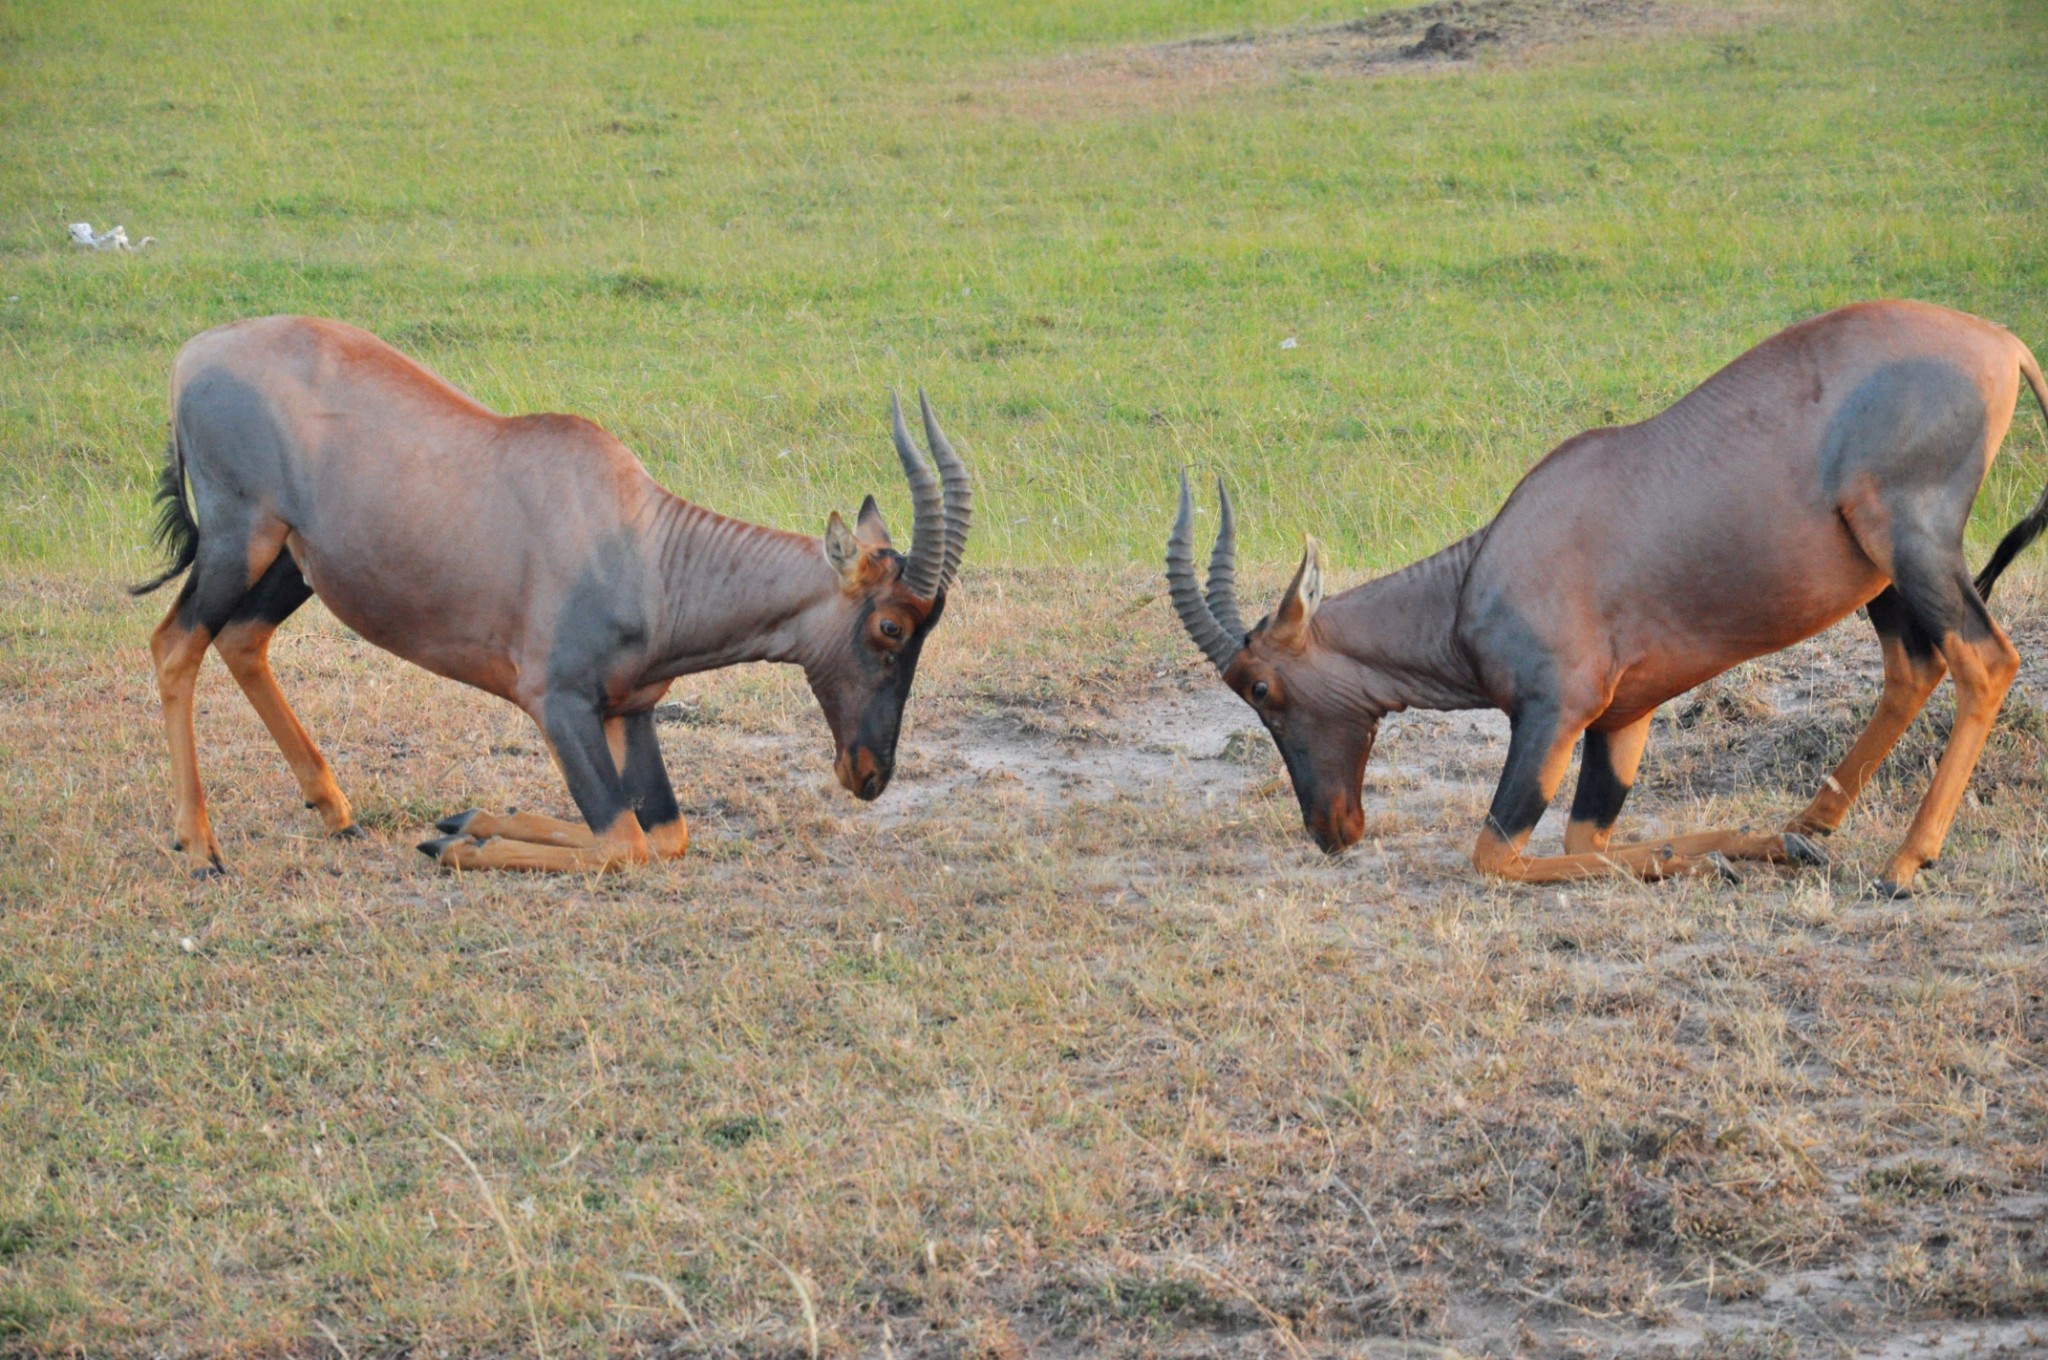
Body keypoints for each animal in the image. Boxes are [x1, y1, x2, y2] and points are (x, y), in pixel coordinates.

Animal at [132, 315, 970, 876]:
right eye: (891, 628)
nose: (870, 775)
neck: (641, 545)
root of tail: (193, 354)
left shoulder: (631, 711)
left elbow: (664, 834)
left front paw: (462, 822)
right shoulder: (556, 704)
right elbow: (621, 840)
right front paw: (456, 841)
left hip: (291, 561)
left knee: (242, 639)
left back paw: (334, 811)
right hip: (239, 535)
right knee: (176, 642)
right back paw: (201, 846)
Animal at [1171, 296, 2048, 893]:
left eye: (1261, 687)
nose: (1331, 829)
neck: (1486, 567)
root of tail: (2002, 342)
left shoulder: (1554, 714)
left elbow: (1500, 856)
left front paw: (1709, 859)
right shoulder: (1624, 719)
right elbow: (1587, 842)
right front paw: (1758, 846)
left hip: (1913, 541)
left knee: (1985, 661)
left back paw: (1904, 863)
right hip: (1880, 573)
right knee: (1914, 668)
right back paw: (1810, 823)